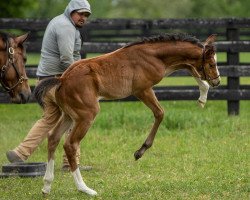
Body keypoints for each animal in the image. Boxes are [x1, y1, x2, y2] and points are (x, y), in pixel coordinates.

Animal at [35, 33, 221, 196]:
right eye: (212, 64)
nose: (217, 81)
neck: (154, 55)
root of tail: (62, 80)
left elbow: (191, 68)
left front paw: (202, 97)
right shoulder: (142, 89)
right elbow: (160, 113)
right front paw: (140, 151)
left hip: (68, 115)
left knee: (53, 138)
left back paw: (47, 186)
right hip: (86, 115)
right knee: (70, 145)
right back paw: (84, 188)